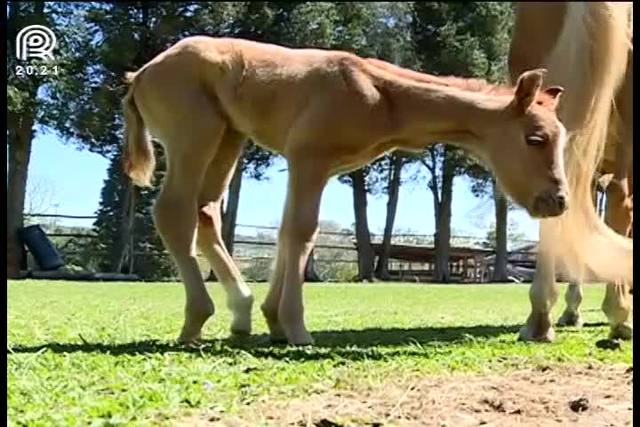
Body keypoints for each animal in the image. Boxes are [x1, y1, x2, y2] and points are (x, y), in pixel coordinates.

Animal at [122, 36, 568, 344]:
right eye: (535, 138)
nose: (558, 201)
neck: (380, 95)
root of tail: (139, 76)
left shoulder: (311, 165)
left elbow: (288, 232)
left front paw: (274, 320)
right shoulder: (309, 157)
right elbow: (301, 231)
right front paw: (296, 328)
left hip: (228, 137)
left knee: (206, 211)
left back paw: (242, 313)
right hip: (193, 135)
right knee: (173, 211)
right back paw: (197, 320)